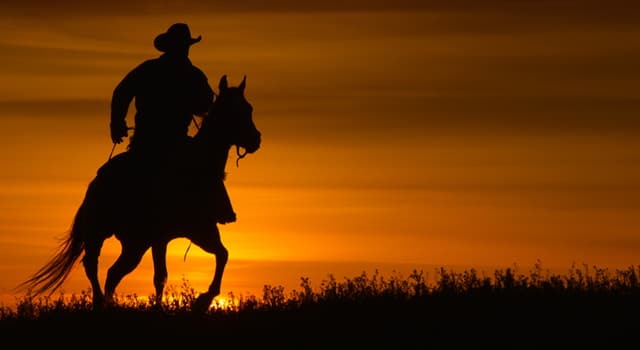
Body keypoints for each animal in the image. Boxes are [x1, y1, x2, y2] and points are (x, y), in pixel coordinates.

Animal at [20, 74, 260, 312]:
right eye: (234, 111)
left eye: (249, 108)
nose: (256, 140)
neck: (195, 170)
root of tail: (94, 185)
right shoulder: (164, 237)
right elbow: (161, 276)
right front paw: (189, 303)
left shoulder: (200, 231)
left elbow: (222, 255)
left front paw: (201, 300)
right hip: (101, 233)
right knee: (93, 265)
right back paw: (99, 302)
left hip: (135, 244)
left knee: (113, 272)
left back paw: (108, 303)